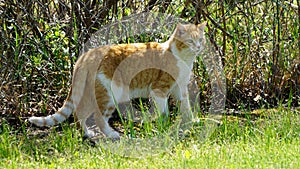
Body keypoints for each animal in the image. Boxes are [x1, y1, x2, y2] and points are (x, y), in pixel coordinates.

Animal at [28, 21, 206, 139]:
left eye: (200, 40)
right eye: (190, 41)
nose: (198, 47)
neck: (182, 59)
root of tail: (87, 54)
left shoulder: (180, 89)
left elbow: (186, 108)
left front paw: (192, 122)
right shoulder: (159, 90)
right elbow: (163, 112)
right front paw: (164, 126)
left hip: (101, 96)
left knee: (84, 115)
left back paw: (89, 134)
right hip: (109, 93)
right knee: (95, 117)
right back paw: (111, 135)